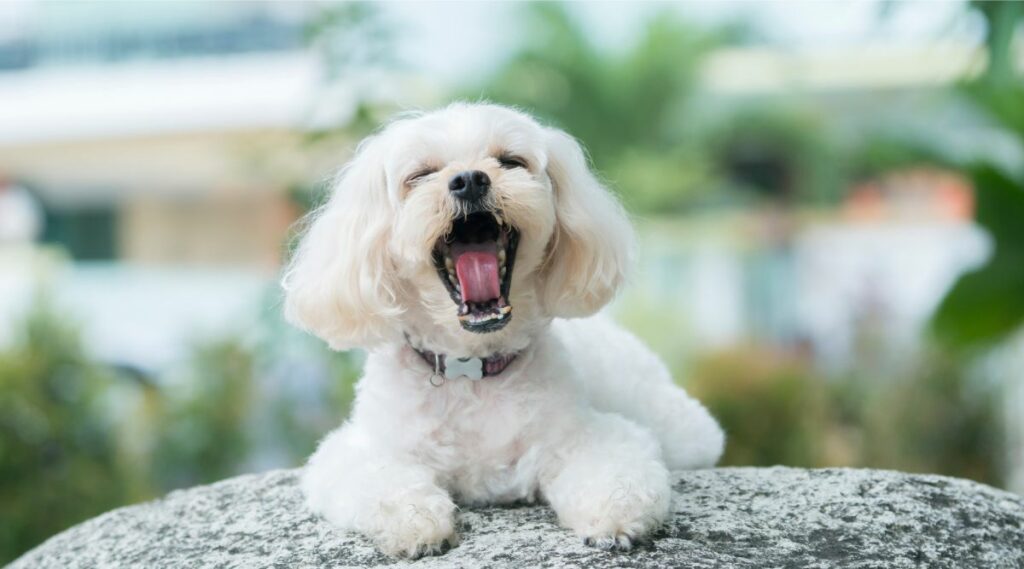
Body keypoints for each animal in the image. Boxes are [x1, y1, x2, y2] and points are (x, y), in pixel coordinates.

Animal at [284, 101, 724, 556]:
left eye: (511, 161)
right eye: (420, 175)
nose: (469, 180)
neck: (472, 371)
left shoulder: (588, 434)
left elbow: (615, 471)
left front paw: (615, 519)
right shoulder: (360, 450)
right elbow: (383, 481)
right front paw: (416, 522)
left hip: (681, 429)